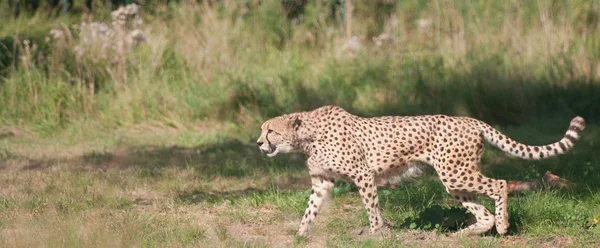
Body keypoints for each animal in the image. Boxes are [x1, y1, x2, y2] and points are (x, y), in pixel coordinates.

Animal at [255, 105, 584, 236]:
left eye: (270, 130)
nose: (258, 143)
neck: (306, 137)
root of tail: (469, 119)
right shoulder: (322, 181)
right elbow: (309, 210)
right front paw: (300, 235)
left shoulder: (363, 175)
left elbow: (371, 206)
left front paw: (376, 233)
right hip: (454, 179)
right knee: (482, 211)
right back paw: (466, 234)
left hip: (455, 172)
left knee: (500, 184)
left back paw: (502, 226)